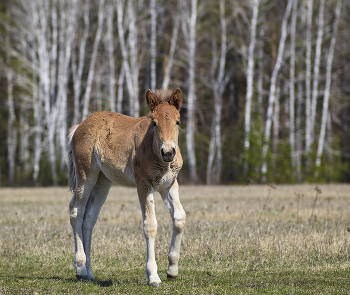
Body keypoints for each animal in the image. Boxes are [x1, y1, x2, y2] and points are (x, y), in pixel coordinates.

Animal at [66, 88, 186, 286]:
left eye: (178, 121)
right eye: (154, 123)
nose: (168, 152)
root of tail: (80, 126)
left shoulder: (169, 184)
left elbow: (179, 218)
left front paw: (172, 270)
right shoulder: (144, 184)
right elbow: (150, 225)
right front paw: (153, 276)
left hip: (103, 181)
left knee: (90, 218)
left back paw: (90, 273)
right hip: (86, 175)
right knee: (76, 211)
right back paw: (81, 269)